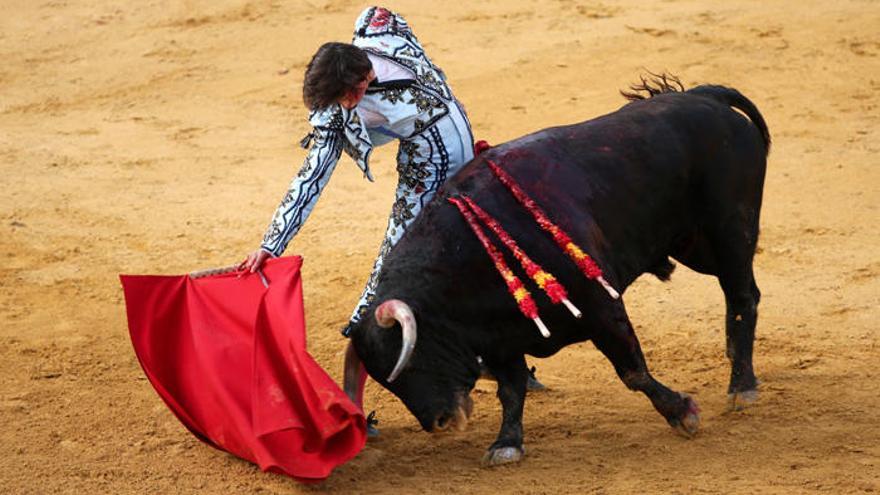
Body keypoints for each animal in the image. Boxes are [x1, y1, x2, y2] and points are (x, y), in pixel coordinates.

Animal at [340, 83, 768, 466]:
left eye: (412, 359)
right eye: (385, 380)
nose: (440, 422)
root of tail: (704, 97)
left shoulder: (600, 305)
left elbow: (632, 371)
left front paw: (682, 413)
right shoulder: (500, 339)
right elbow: (511, 390)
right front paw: (507, 444)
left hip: (731, 227)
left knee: (741, 294)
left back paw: (742, 386)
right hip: (691, 244)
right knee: (744, 291)